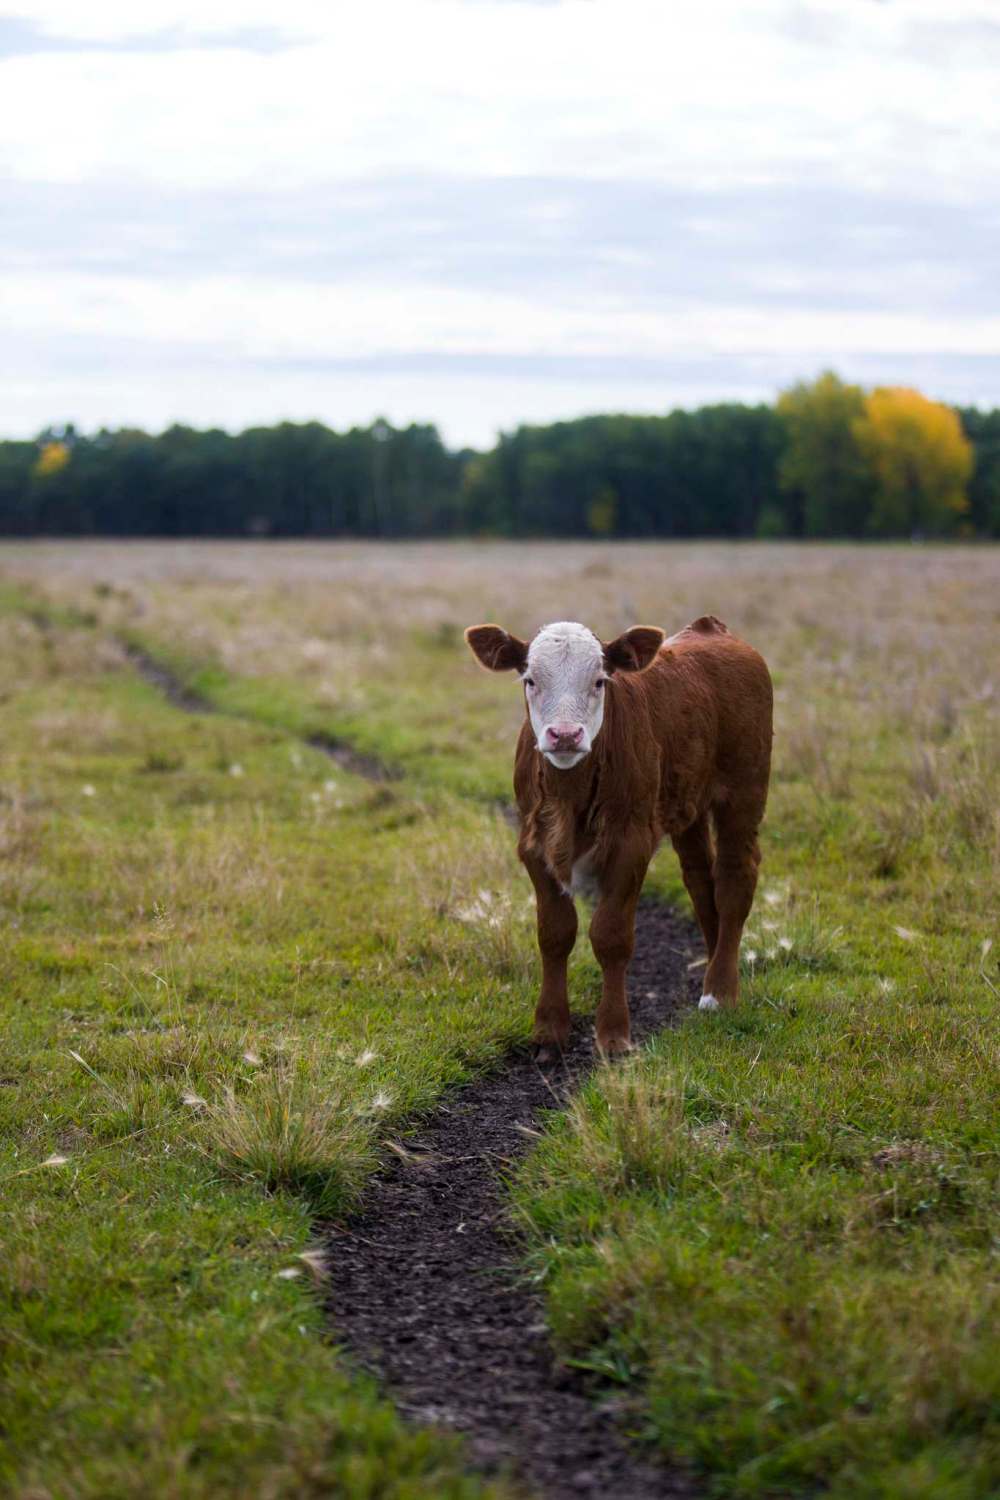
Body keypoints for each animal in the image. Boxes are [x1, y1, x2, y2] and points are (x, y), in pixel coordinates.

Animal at [465, 616, 772, 1056]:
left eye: (600, 681)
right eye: (530, 680)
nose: (565, 735)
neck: (570, 795)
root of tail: (711, 629)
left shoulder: (631, 843)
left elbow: (610, 936)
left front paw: (613, 1034)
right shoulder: (535, 845)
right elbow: (554, 933)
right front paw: (549, 1028)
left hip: (745, 789)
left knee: (735, 879)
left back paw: (720, 992)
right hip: (688, 805)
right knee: (701, 880)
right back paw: (716, 964)